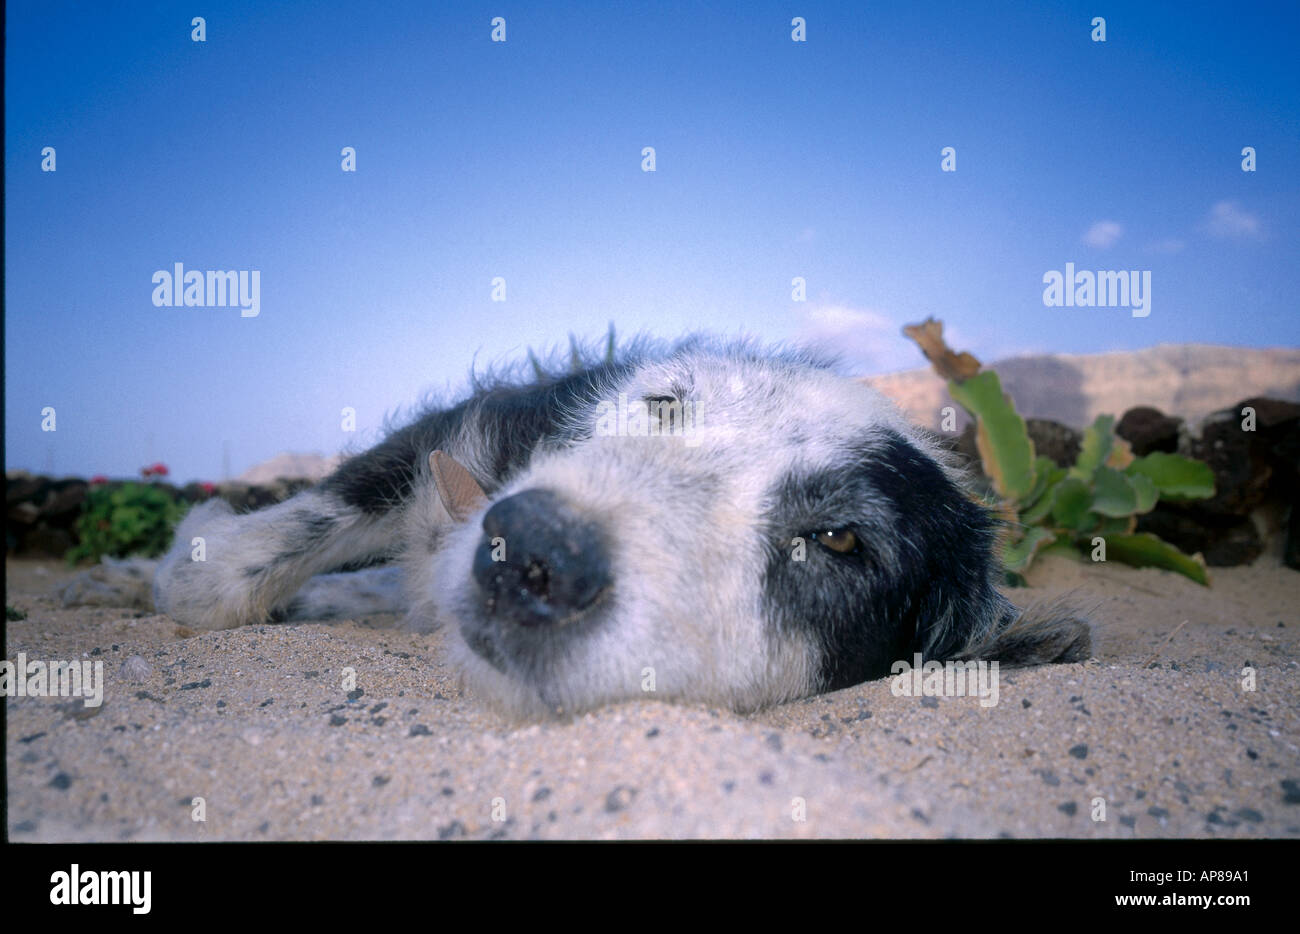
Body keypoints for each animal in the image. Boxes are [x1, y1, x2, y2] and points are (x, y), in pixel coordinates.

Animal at [68, 340, 1097, 723]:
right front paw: (190, 555)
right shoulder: (468, 436)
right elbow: (229, 569)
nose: (527, 550)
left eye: (841, 542)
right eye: (664, 406)